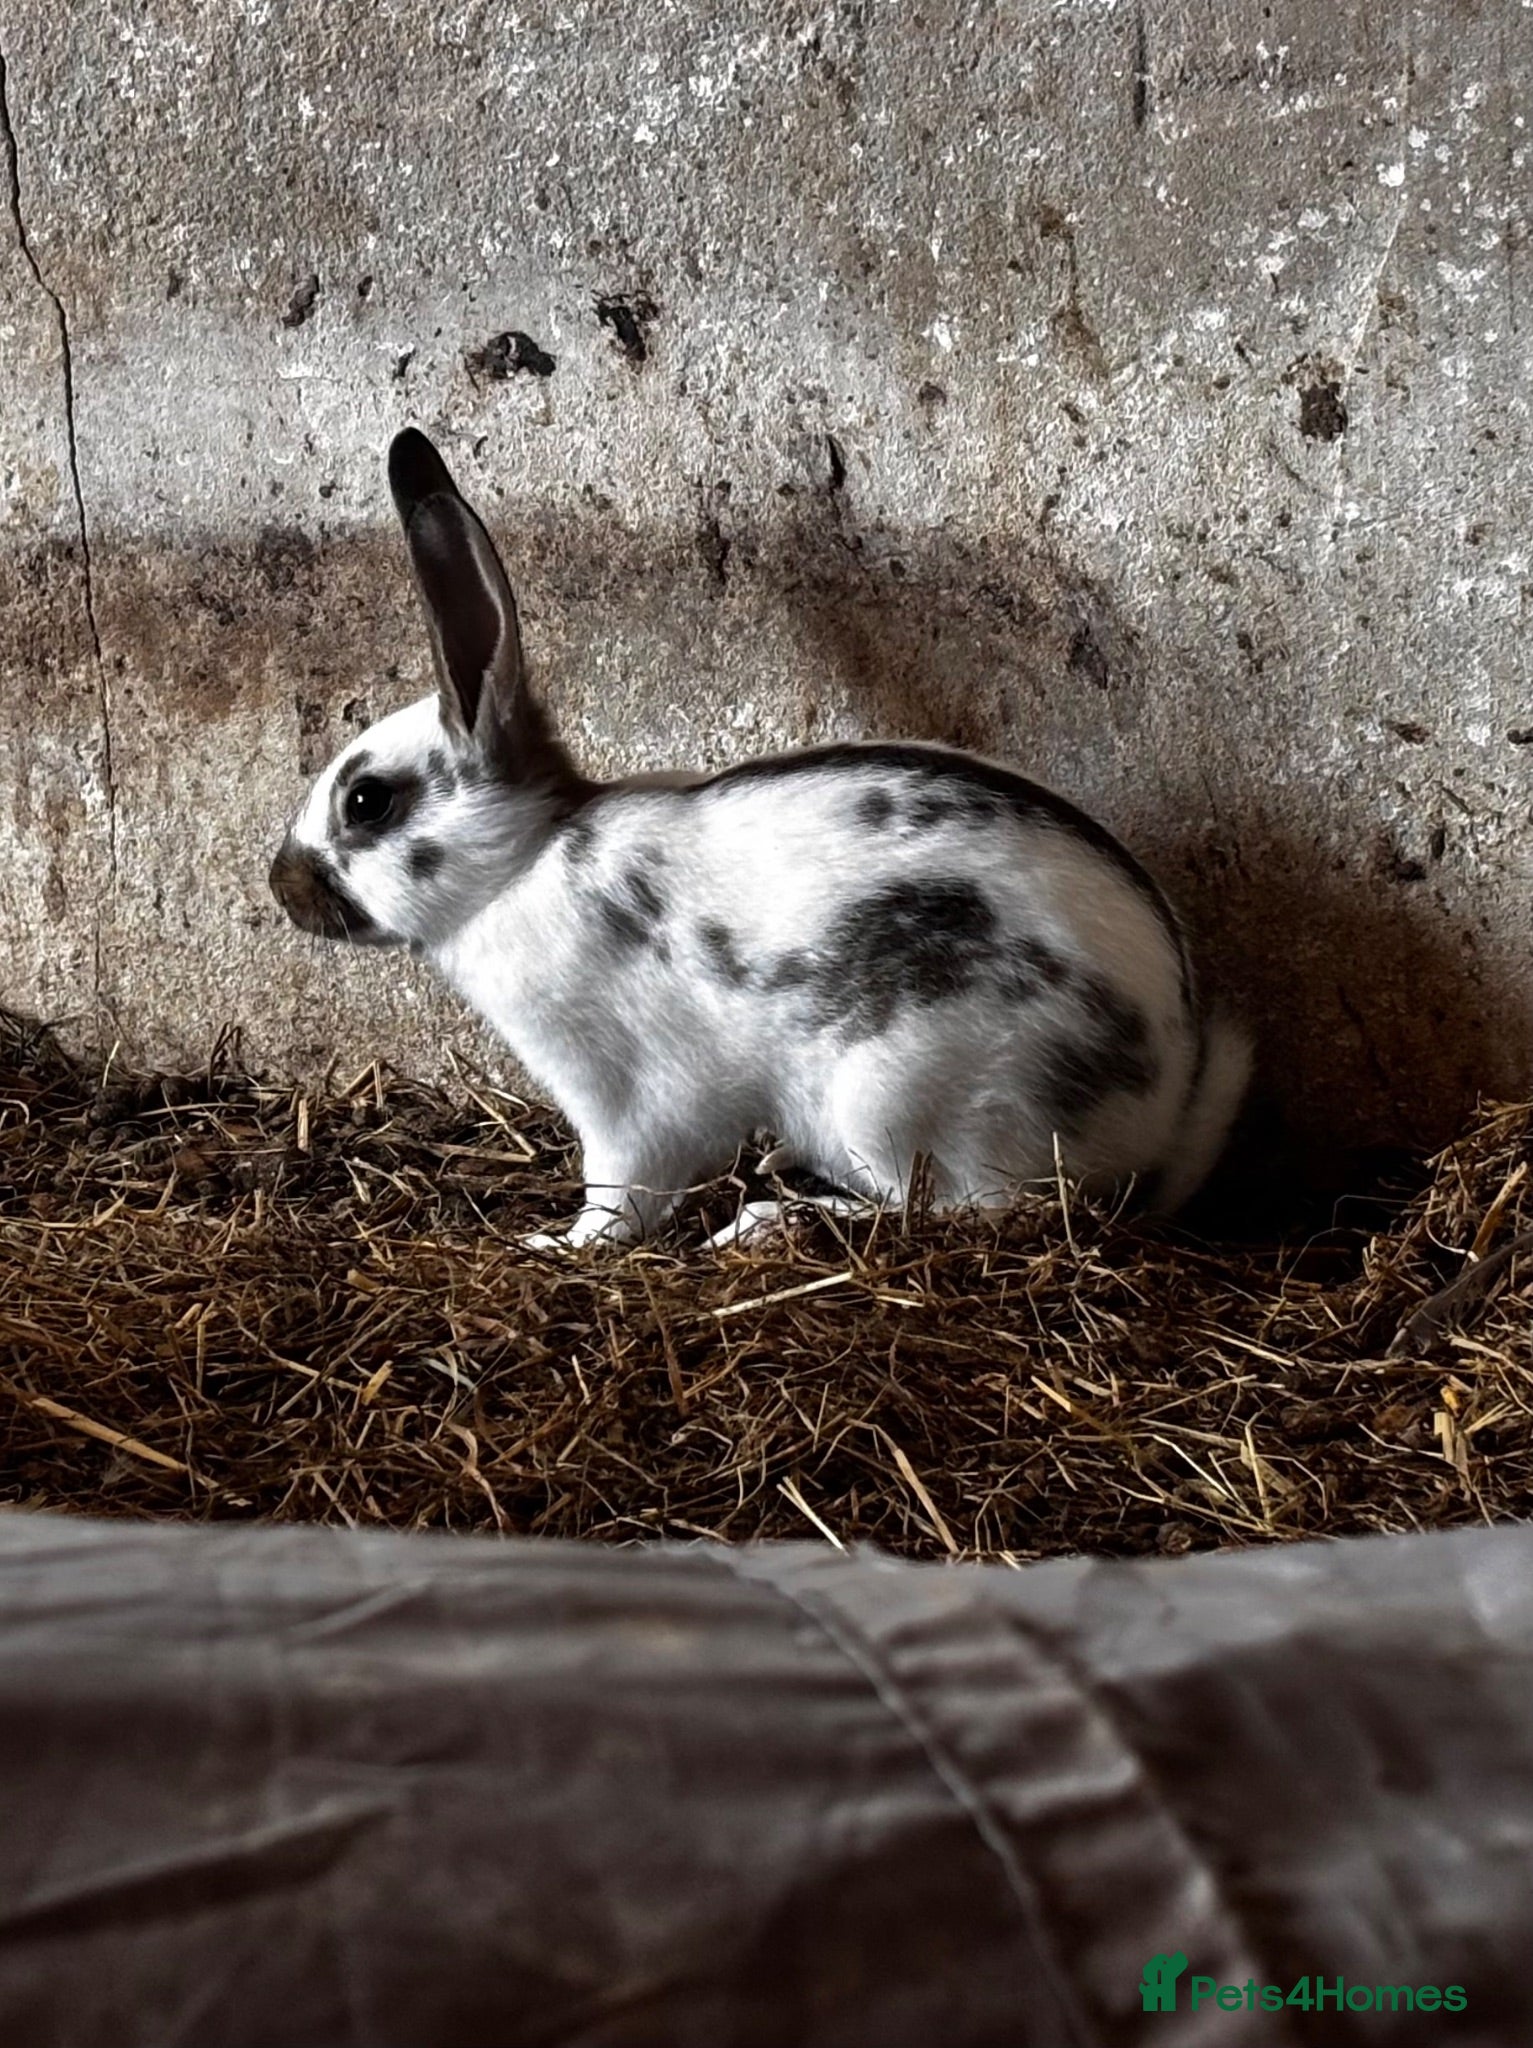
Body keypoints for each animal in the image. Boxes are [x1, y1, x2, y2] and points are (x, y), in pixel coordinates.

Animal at [269, 428, 1251, 1250]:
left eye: (366, 801)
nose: (281, 887)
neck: (525, 864)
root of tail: (1165, 1104)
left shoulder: (629, 1103)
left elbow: (620, 1195)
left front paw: (556, 1246)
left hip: (902, 1099)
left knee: (961, 1213)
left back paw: (771, 1219)